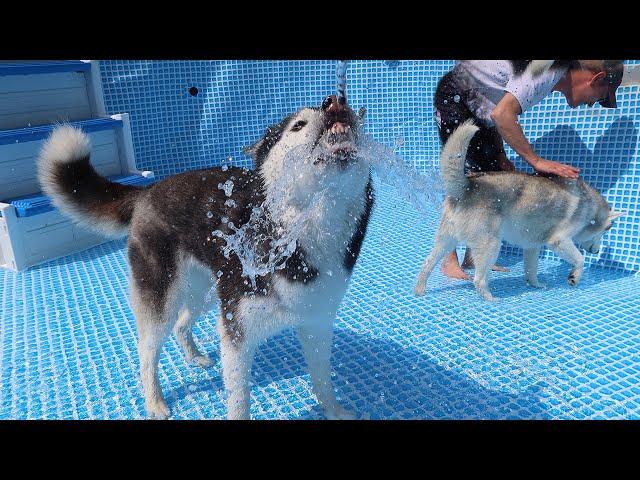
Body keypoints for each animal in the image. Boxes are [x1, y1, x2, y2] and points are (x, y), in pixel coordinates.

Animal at [38, 94, 376, 420]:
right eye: (298, 125)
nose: (335, 103)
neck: (300, 230)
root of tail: (147, 190)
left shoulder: (317, 322)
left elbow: (323, 380)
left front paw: (335, 412)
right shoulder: (236, 334)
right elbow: (239, 403)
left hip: (206, 291)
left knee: (181, 325)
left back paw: (195, 357)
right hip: (164, 298)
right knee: (147, 350)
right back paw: (155, 402)